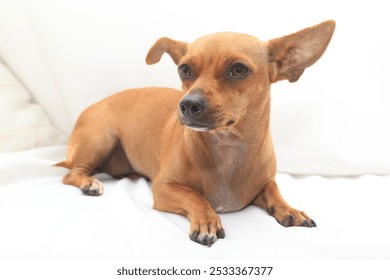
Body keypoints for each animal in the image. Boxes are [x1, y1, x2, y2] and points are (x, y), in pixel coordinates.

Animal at [57, 19, 336, 246]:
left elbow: (274, 191)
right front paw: (206, 220)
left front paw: (290, 209)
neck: (227, 148)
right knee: (72, 173)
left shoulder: (265, 183)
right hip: (100, 139)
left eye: (239, 69)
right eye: (184, 69)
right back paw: (89, 183)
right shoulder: (164, 188)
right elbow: (196, 197)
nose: (188, 104)